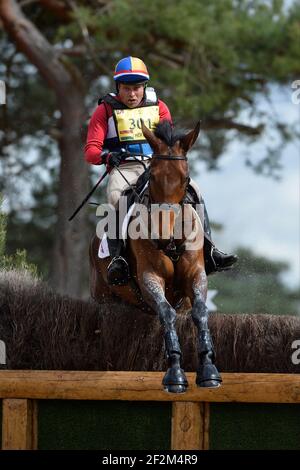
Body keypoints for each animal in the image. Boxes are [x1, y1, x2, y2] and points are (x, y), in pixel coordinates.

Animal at [88, 119, 220, 392]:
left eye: (185, 179)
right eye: (154, 177)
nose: (162, 236)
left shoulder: (196, 275)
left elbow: (200, 312)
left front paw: (209, 371)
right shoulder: (150, 276)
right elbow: (166, 313)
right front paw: (175, 376)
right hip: (103, 295)